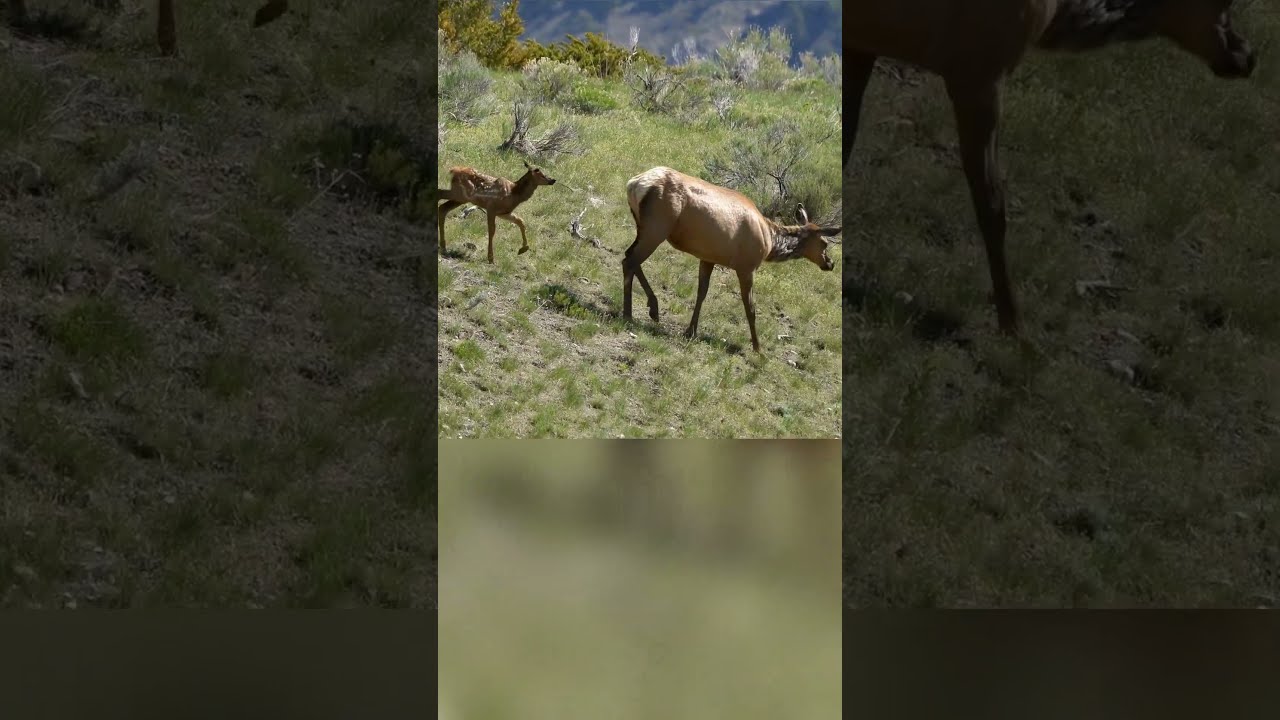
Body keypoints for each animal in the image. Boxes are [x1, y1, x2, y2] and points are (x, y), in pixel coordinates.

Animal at [623, 166, 841, 353]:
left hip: (643, 228)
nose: (830, 263)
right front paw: (758, 348)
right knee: (630, 261)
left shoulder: (708, 257)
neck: (770, 240)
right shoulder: (747, 267)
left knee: (629, 257)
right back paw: (629, 314)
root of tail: (634, 184)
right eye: (824, 243)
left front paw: (691, 331)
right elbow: (750, 307)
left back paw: (652, 308)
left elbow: (701, 293)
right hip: (656, 228)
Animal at [846, 0, 1257, 336]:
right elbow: (992, 205)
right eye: (1227, 0)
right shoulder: (979, 73)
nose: (1247, 55)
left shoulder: (862, 45)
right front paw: (1013, 325)